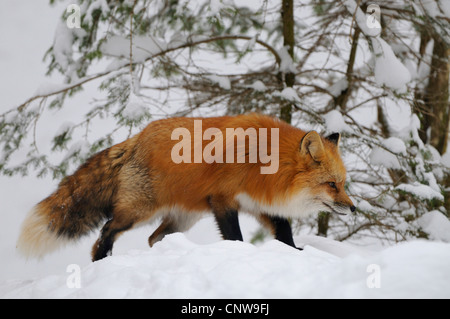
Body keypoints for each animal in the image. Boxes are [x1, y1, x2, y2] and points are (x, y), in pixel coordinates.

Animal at [17, 114, 356, 262]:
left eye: (343, 184)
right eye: (331, 185)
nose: (353, 208)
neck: (264, 163)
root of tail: (135, 139)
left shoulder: (259, 203)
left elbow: (284, 234)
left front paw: (295, 252)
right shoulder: (222, 199)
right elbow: (235, 236)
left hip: (182, 219)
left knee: (154, 239)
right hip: (138, 212)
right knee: (106, 230)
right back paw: (101, 257)